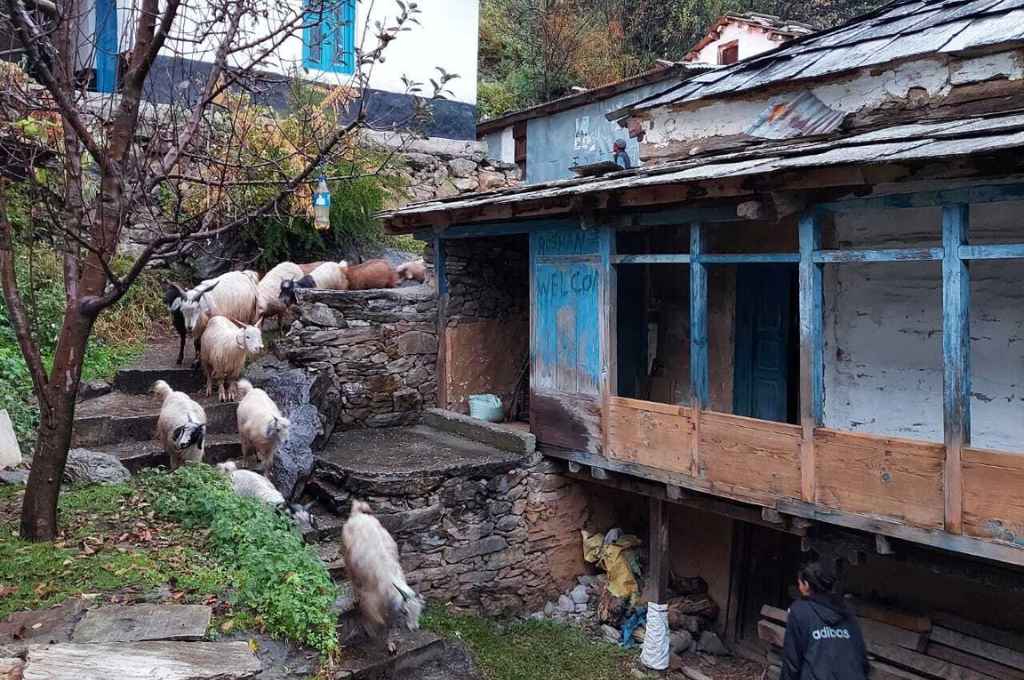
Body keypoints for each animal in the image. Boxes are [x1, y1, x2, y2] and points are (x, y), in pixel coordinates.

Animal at [342, 499, 421, 655]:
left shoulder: (389, 606)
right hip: (348, 560)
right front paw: (370, 631)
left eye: (420, 611)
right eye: (405, 612)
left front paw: (390, 645)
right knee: (352, 579)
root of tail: (357, 514)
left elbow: (389, 624)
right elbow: (374, 618)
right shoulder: (370, 599)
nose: (414, 628)